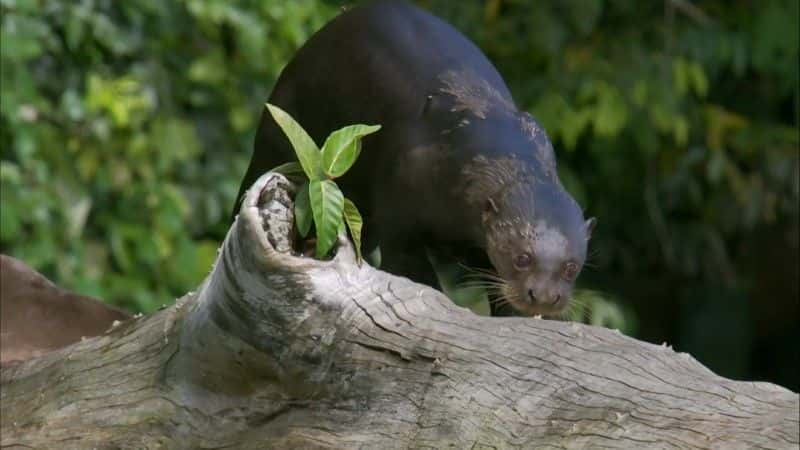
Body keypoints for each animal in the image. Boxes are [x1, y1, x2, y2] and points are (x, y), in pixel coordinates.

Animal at [236, 0, 592, 316]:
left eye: (571, 267)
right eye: (522, 258)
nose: (544, 297)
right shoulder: (400, 211)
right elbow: (414, 272)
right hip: (276, 136)